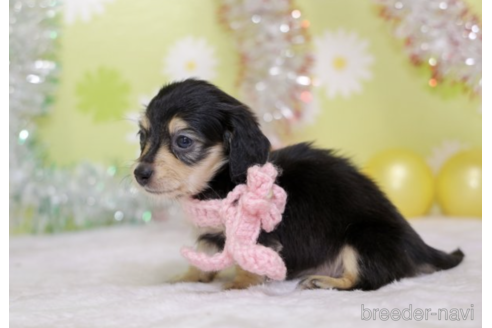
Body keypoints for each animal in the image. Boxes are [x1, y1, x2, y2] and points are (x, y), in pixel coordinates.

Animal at [133, 79, 464, 292]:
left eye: (183, 141)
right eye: (142, 136)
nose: (139, 173)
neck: (224, 181)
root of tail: (417, 245)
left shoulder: (258, 235)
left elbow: (248, 262)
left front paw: (239, 285)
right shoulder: (210, 232)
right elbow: (204, 255)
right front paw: (186, 277)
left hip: (362, 238)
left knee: (368, 281)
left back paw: (325, 281)